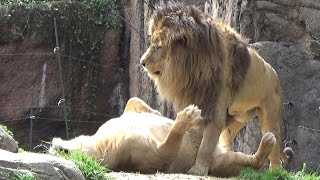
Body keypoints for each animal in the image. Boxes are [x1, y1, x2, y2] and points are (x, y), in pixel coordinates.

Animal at [51, 97, 276, 177]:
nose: (53, 145)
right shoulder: (133, 152)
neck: (102, 142)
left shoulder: (114, 124)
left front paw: (156, 112)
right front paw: (188, 114)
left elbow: (131, 103)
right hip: (215, 162)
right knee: (231, 161)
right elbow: (165, 151)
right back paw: (268, 141)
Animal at [140, 2, 290, 175]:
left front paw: (198, 170)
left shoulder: (215, 107)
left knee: (274, 142)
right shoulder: (199, 101)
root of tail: (273, 72)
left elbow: (206, 145)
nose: (142, 62)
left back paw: (275, 171)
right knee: (228, 138)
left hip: (270, 115)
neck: (192, 69)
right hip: (237, 117)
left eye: (158, 47)